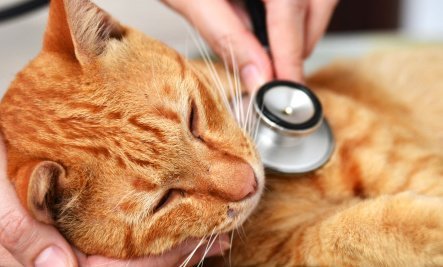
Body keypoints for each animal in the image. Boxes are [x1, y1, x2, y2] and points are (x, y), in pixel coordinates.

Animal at [0, 0, 443, 266]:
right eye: (165, 200)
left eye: (193, 118)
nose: (250, 182)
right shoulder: (287, 254)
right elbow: (349, 231)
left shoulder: (394, 156)